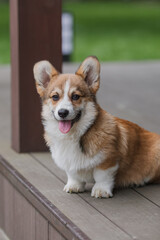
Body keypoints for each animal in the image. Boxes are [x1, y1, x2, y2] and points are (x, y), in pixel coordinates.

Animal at [33, 56, 159, 199]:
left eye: (75, 96)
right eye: (55, 97)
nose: (63, 112)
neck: (75, 135)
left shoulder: (108, 161)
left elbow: (102, 176)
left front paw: (101, 190)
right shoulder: (69, 163)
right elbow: (73, 175)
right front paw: (74, 186)